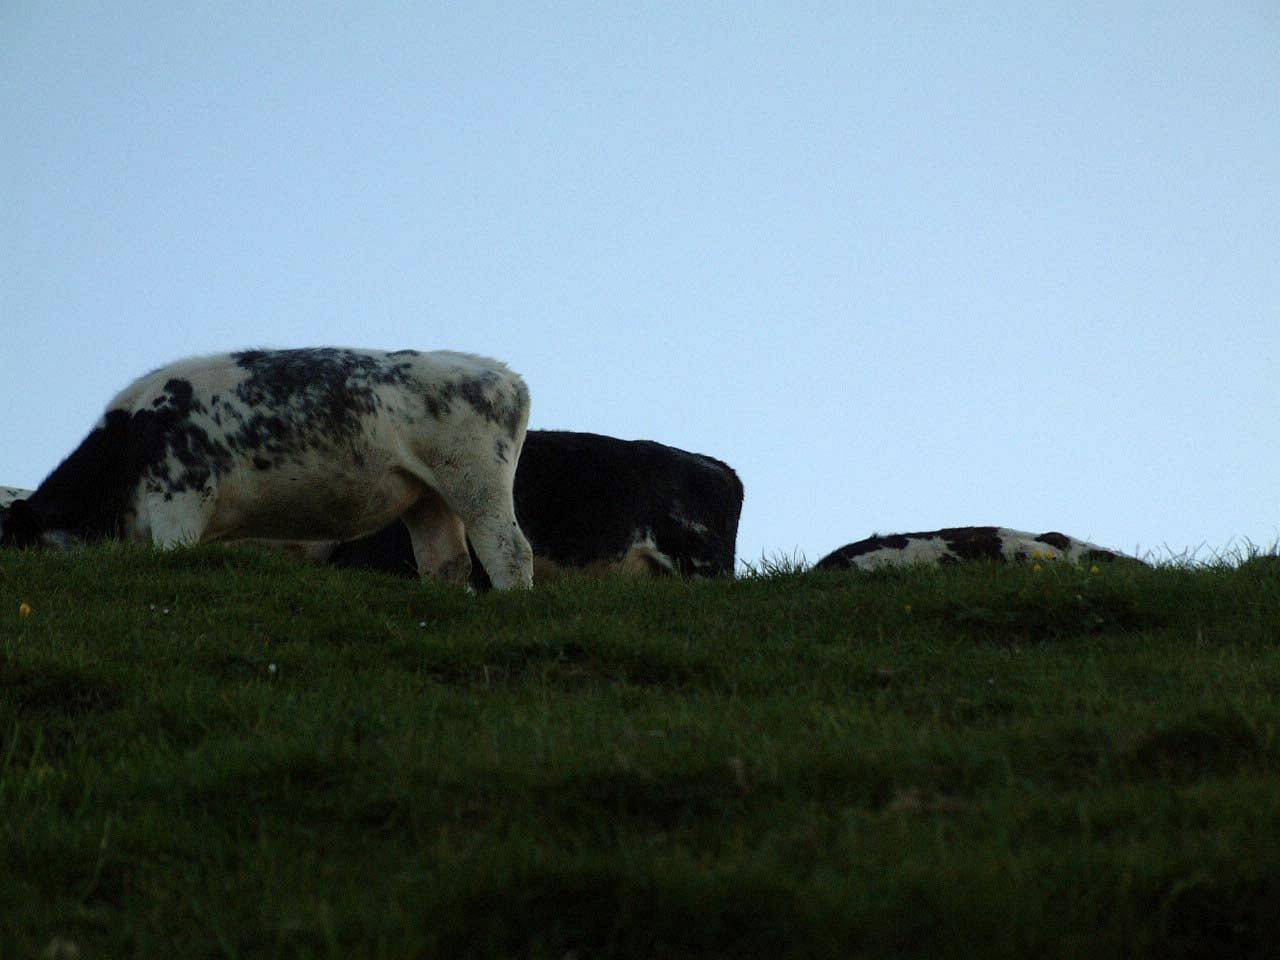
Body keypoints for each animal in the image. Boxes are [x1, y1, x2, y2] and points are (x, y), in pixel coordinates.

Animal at [0, 347, 534, 588]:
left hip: (476, 483)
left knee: (509, 550)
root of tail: (500, 371)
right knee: (446, 562)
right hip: (427, 497)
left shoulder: (181, 500)